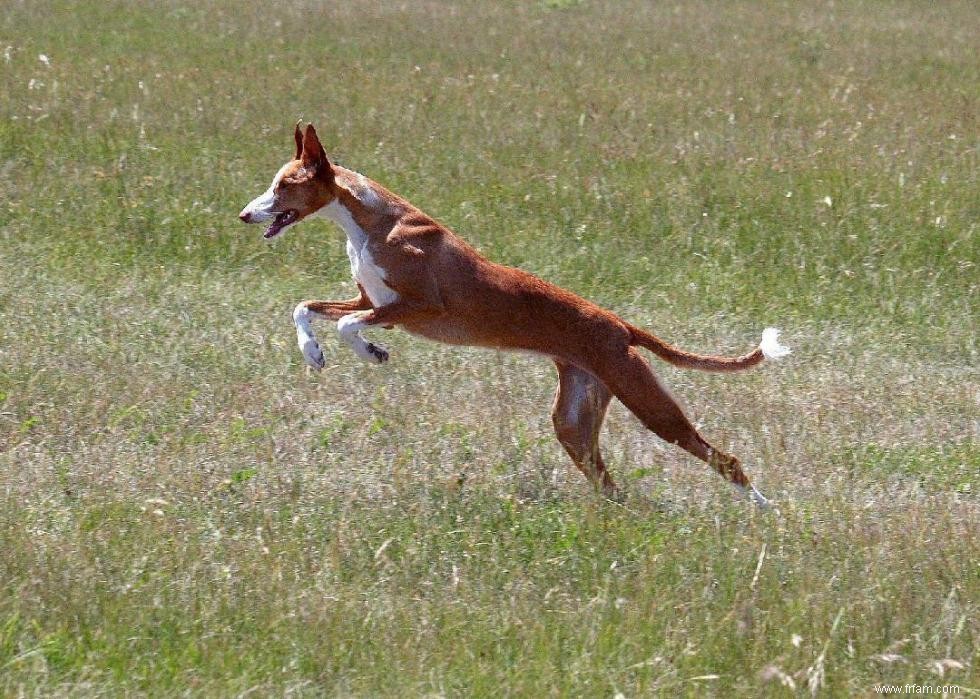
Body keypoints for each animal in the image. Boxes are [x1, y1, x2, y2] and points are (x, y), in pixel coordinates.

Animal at [241, 123, 792, 506]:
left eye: (284, 185)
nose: (245, 214)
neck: (373, 221)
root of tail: (620, 326)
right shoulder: (375, 304)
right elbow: (306, 308)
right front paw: (314, 353)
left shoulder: (418, 308)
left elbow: (344, 323)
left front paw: (369, 350)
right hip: (573, 421)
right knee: (608, 483)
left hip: (650, 405)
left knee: (725, 459)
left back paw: (765, 511)